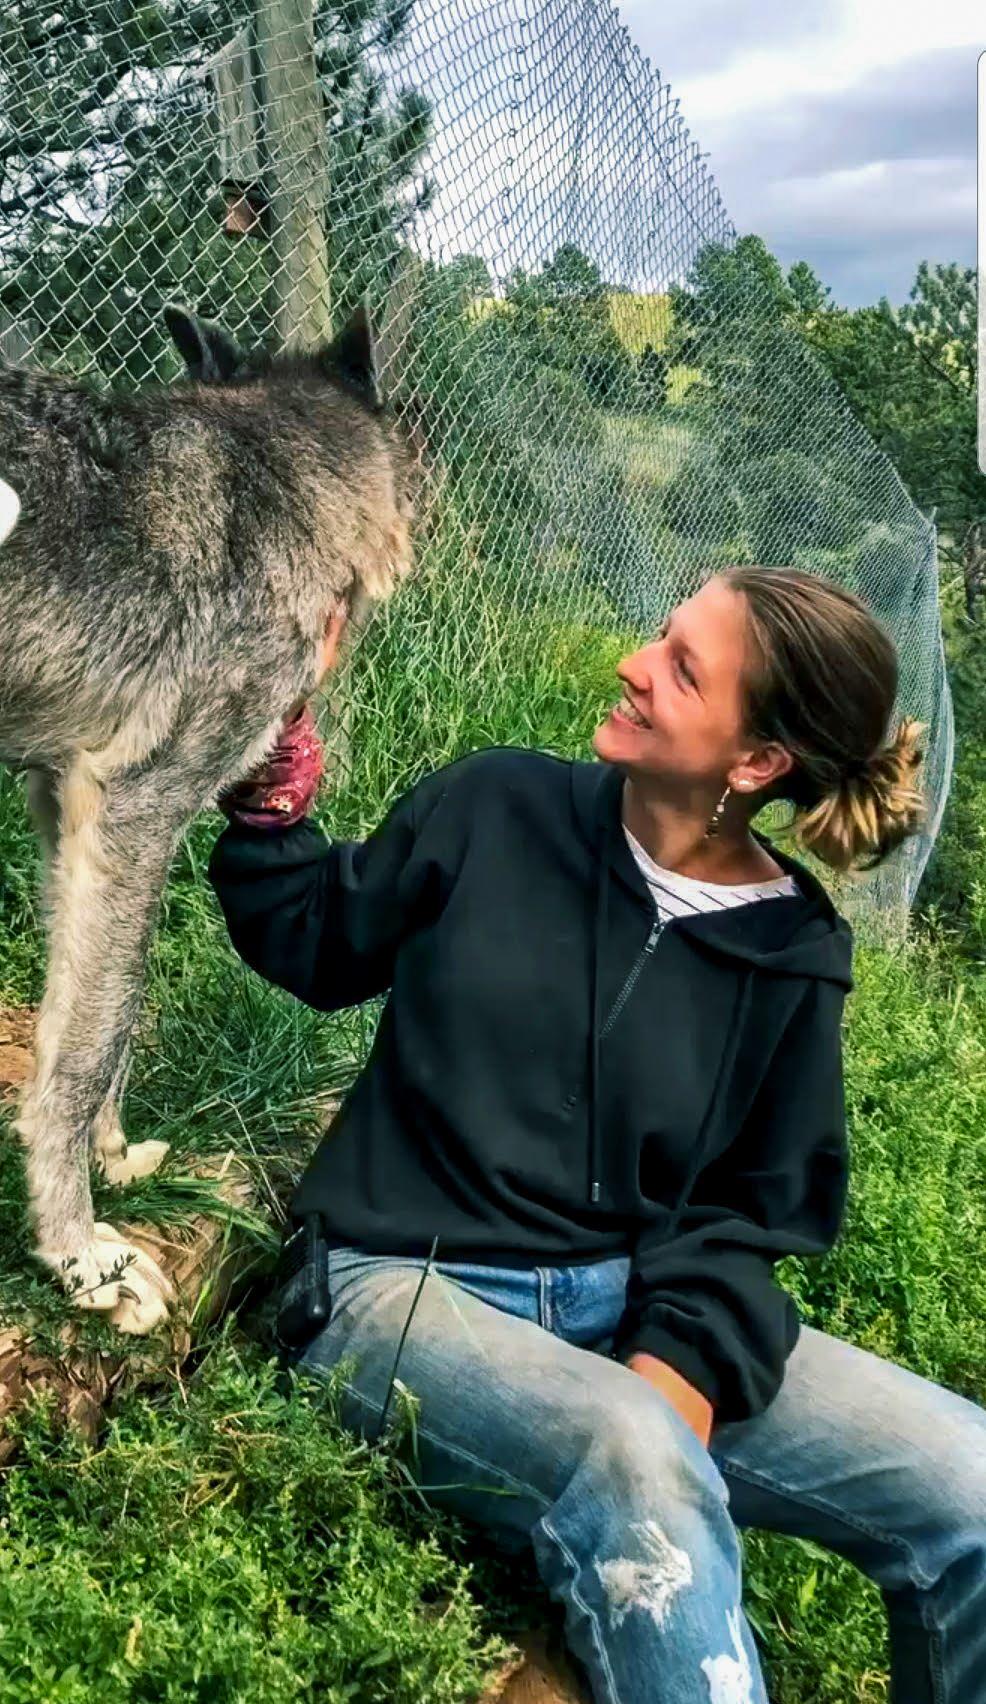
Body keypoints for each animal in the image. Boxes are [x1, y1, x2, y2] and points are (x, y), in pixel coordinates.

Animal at [0, 303, 417, 1329]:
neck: (278, 487)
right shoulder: (136, 812)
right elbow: (86, 1050)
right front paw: (80, 1258)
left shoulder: (64, 811)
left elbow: (109, 1026)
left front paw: (114, 1164)